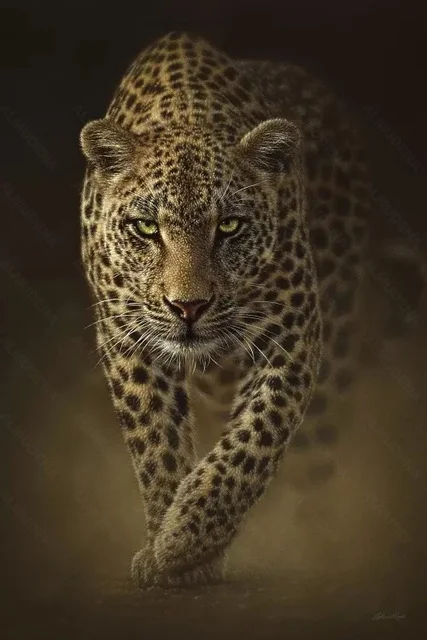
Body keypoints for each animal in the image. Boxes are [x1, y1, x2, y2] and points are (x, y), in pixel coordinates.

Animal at [79, 31, 371, 588]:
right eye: (146, 228)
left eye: (230, 226)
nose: (187, 307)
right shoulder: (125, 336)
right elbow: (156, 441)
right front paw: (169, 547)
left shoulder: (292, 331)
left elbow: (255, 441)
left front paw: (186, 541)